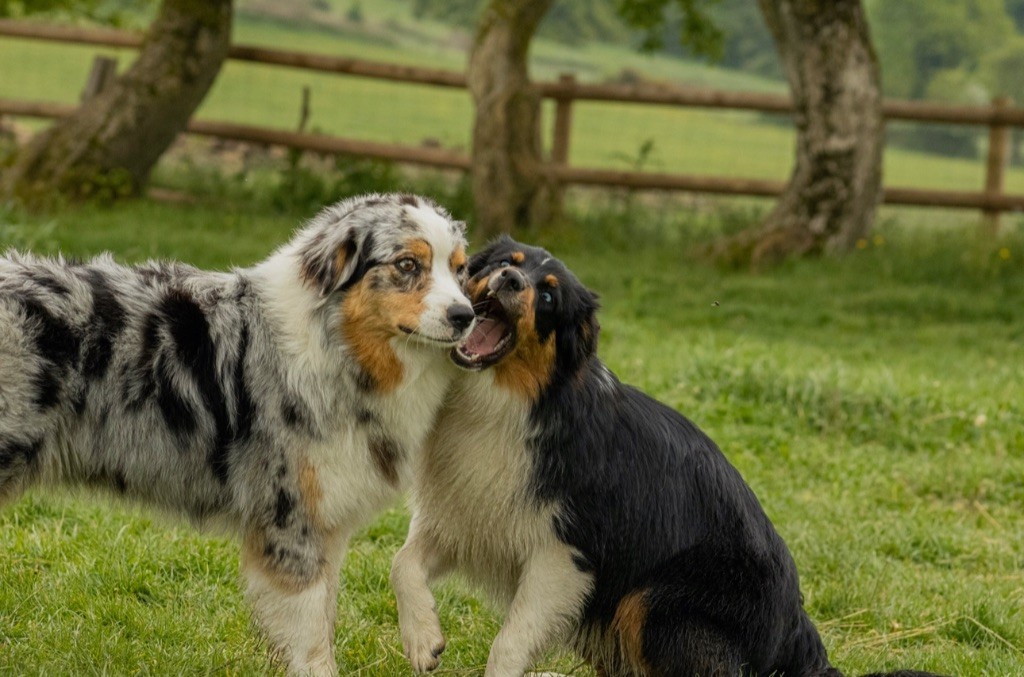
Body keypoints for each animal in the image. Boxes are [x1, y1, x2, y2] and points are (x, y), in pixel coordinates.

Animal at [389, 236, 942, 675]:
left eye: (546, 294)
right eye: (507, 261)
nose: (508, 280)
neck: (514, 404)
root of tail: (797, 630)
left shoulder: (565, 556)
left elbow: (509, 643)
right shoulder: (464, 516)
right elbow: (403, 564)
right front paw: (423, 640)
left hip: (652, 601)